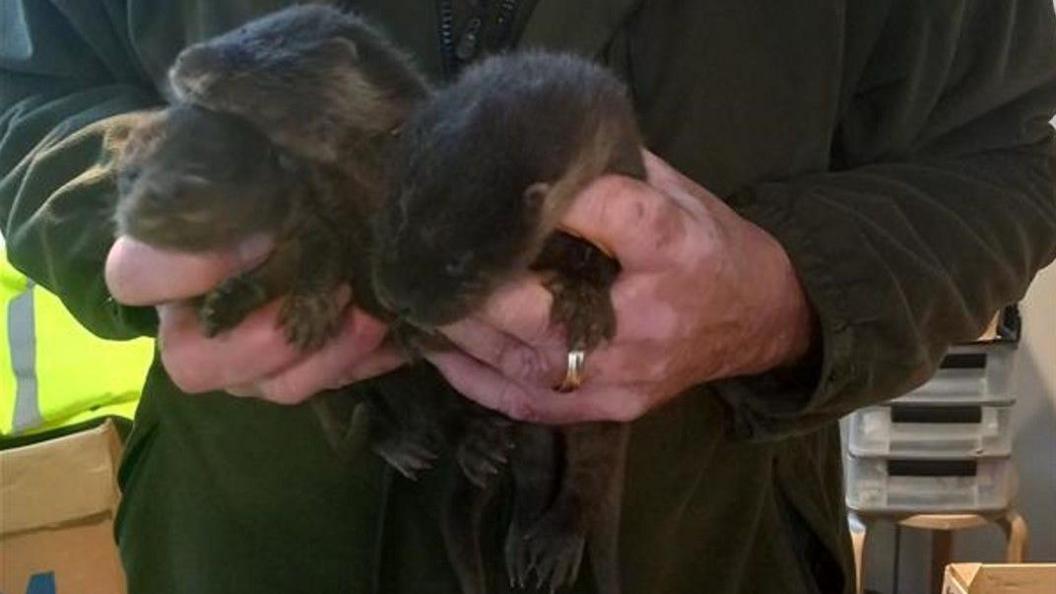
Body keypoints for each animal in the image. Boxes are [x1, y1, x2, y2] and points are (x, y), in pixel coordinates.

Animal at [375, 51, 642, 594]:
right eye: (398, 216)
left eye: (458, 261)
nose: (395, 297)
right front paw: (407, 331)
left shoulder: (627, 167)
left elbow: (606, 264)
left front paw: (585, 299)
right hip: (527, 426)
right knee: (534, 472)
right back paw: (519, 534)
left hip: (602, 426)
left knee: (587, 479)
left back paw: (558, 541)